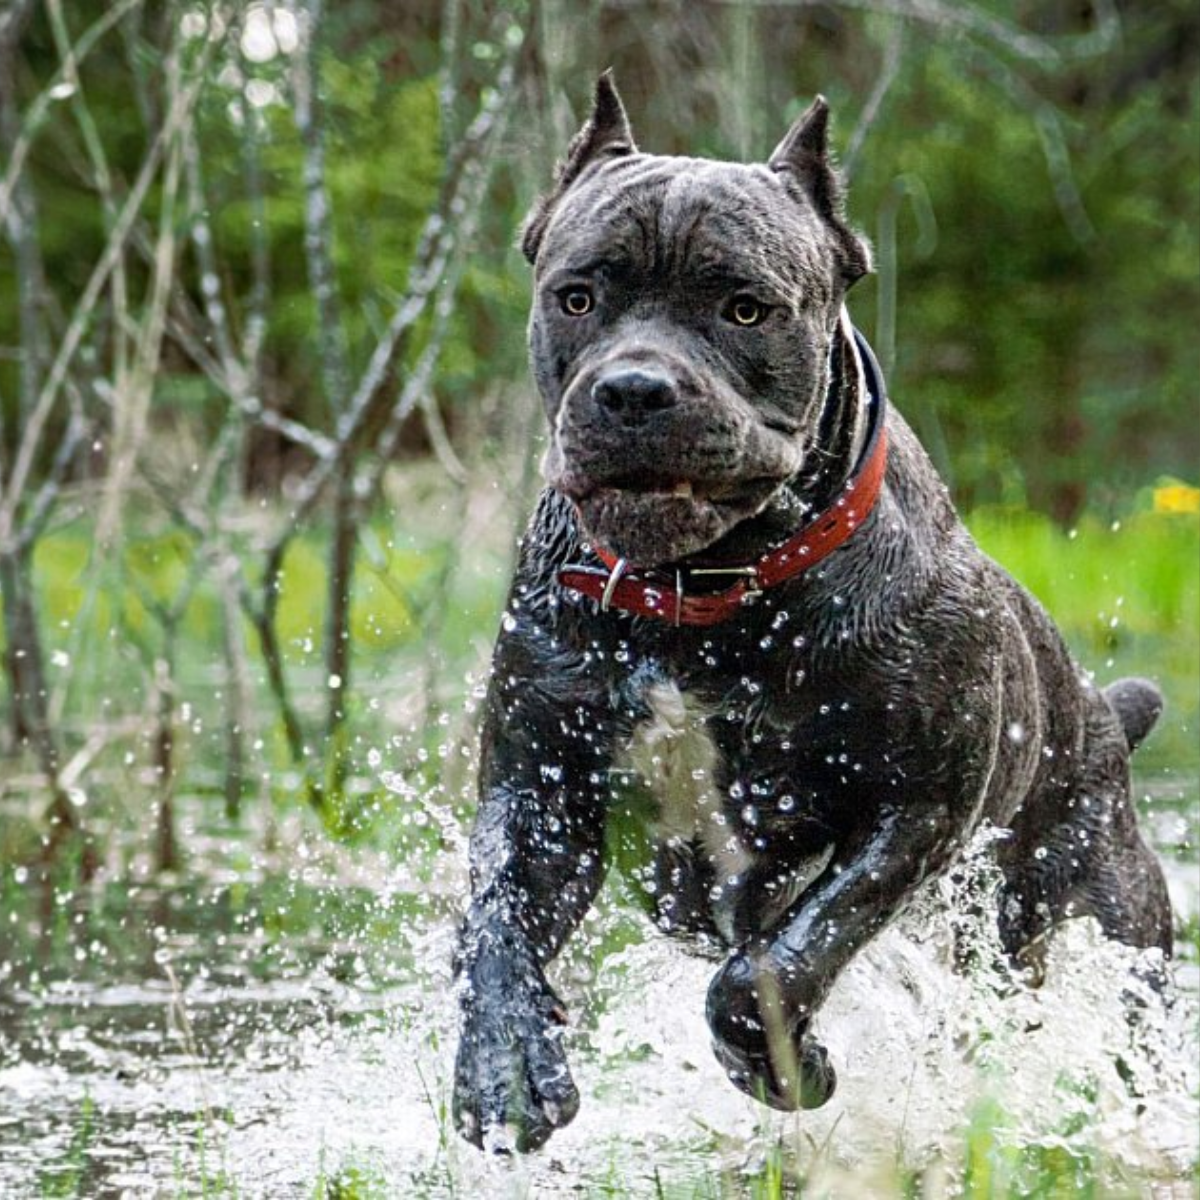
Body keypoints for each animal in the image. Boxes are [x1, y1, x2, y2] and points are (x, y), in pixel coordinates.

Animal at [451, 72, 1171, 1152]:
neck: (696, 596)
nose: (633, 388)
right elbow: (495, 919)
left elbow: (778, 962)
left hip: (1106, 912)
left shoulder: (913, 807)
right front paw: (502, 1072)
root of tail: (1103, 725)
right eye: (577, 296)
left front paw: (786, 1064)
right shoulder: (544, 791)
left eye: (745, 308)